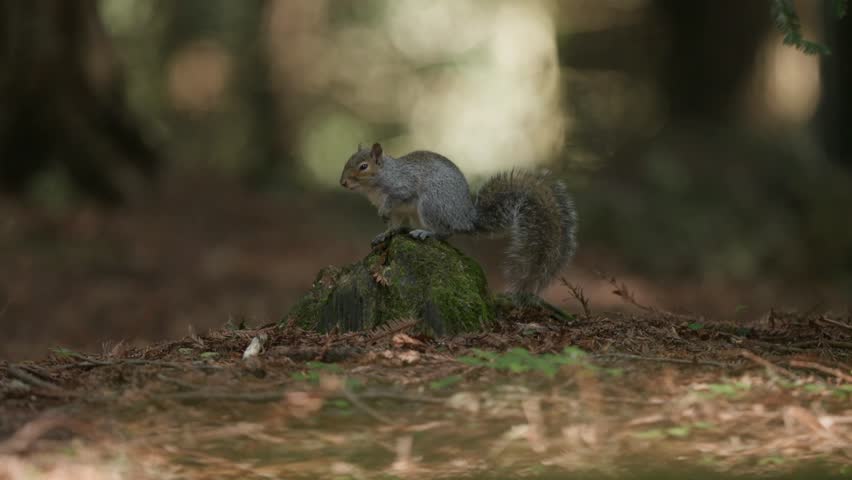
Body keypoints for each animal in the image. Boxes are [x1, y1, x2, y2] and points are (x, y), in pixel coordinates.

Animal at [339, 143, 578, 295]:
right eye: (347, 161)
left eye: (363, 166)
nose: (342, 183)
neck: (379, 181)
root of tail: (466, 217)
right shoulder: (399, 212)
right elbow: (393, 224)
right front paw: (384, 234)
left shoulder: (403, 187)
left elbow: (397, 199)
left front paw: (384, 216)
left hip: (432, 204)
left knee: (446, 232)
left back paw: (425, 232)